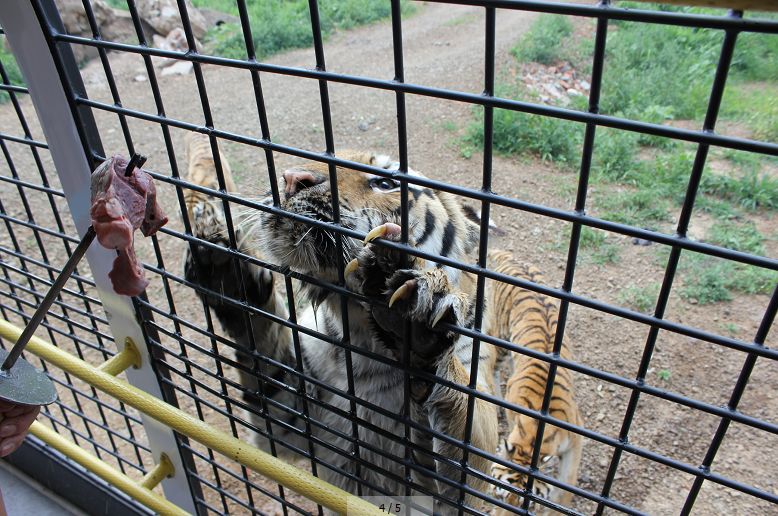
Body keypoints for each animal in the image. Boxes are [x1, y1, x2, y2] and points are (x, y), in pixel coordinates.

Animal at [488, 249, 580, 512]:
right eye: (499, 496)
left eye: (525, 505)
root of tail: (508, 256)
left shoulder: (575, 440)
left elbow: (566, 486)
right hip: (500, 336)